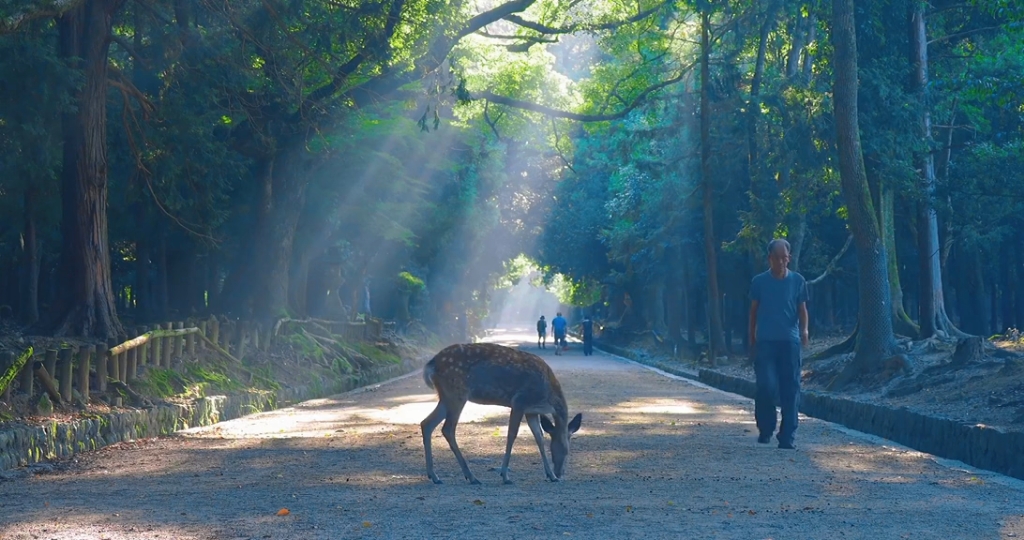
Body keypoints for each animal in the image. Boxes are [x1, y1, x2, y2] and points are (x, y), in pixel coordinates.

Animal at [419, 344, 585, 487]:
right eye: (566, 450)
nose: (560, 472)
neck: (550, 396)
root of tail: (431, 364)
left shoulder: (531, 410)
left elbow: (539, 437)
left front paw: (551, 475)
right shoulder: (519, 401)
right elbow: (512, 435)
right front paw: (505, 476)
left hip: (446, 396)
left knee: (427, 423)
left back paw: (434, 476)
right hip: (457, 392)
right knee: (447, 429)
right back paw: (471, 477)